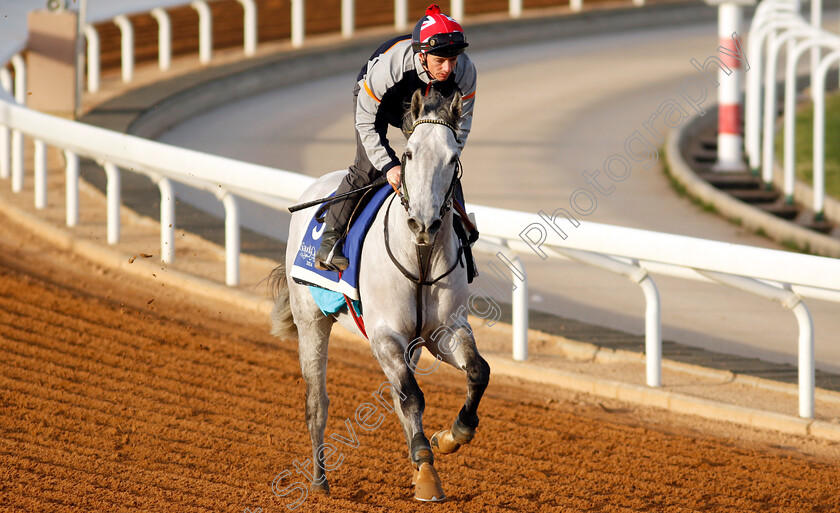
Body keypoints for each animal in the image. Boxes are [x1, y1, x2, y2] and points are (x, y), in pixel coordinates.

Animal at [270, 88, 492, 500]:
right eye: (410, 154)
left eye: (453, 158)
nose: (424, 223)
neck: (420, 258)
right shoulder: (384, 334)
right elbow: (412, 394)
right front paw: (425, 456)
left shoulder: (444, 331)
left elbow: (477, 371)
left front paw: (449, 437)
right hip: (311, 320)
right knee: (317, 402)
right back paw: (319, 480)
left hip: (412, 344)